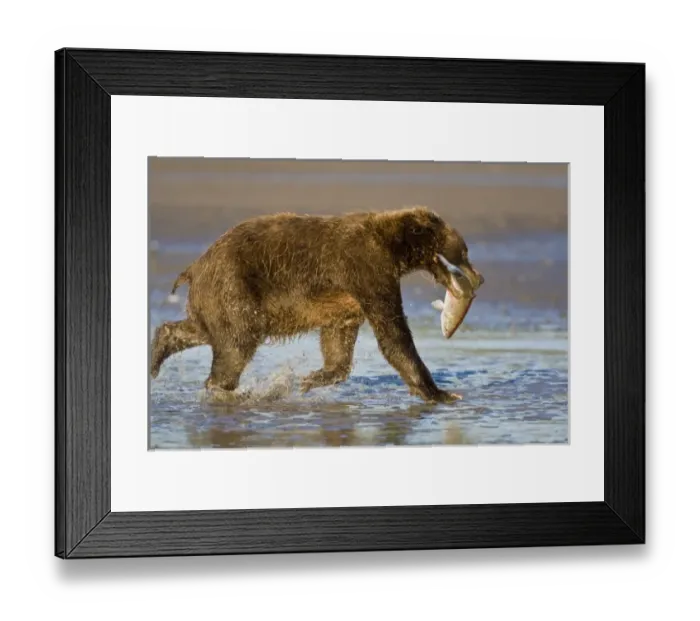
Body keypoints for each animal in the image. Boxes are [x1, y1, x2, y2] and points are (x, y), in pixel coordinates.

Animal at [150, 206, 484, 404]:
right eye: (464, 252)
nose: (477, 277)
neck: (392, 248)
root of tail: (195, 265)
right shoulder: (367, 270)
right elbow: (393, 334)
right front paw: (441, 393)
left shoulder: (348, 302)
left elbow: (338, 341)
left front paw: (311, 379)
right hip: (234, 285)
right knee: (237, 341)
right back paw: (224, 389)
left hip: (213, 297)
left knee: (203, 330)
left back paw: (156, 356)